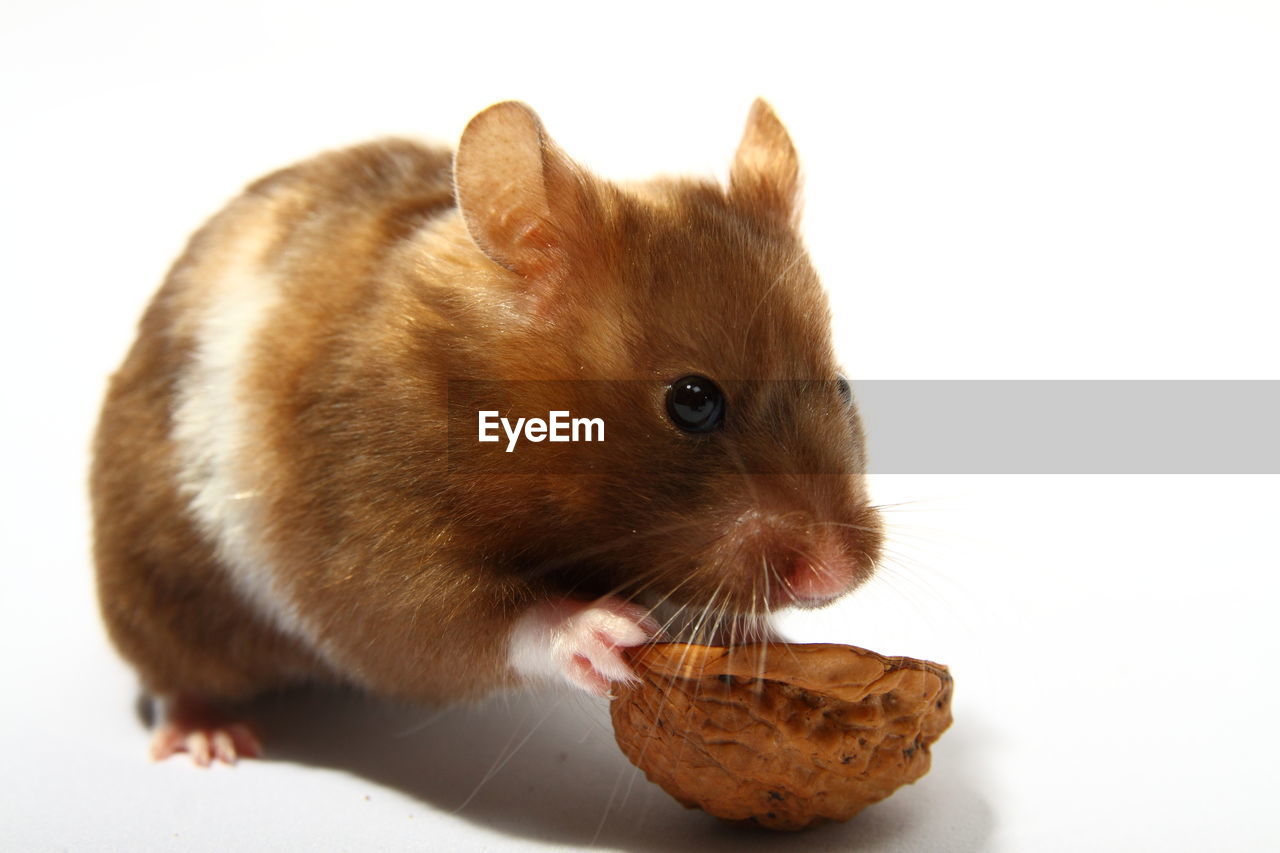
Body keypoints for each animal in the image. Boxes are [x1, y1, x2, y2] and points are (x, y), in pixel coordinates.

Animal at [90, 99, 880, 763]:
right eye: (692, 401)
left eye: (843, 386)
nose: (839, 576)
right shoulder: (363, 536)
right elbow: (467, 626)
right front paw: (608, 633)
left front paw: (761, 642)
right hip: (156, 589)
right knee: (178, 675)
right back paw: (212, 740)